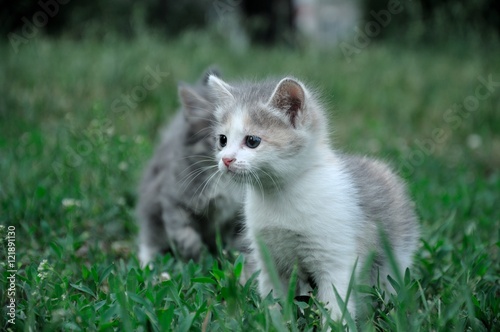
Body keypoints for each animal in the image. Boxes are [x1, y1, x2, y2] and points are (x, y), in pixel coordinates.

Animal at [136, 68, 243, 266]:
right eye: (222, 139)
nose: (229, 159)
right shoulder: (173, 195)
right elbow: (183, 232)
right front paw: (195, 258)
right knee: (150, 231)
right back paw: (149, 261)